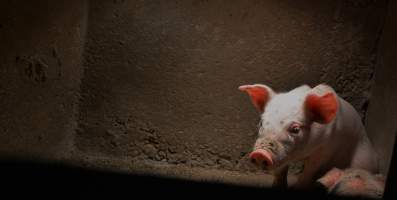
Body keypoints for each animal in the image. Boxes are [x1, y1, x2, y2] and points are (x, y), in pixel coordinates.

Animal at [237, 83, 378, 190]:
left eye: (295, 129)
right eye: (261, 123)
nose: (260, 154)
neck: (301, 154)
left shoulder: (324, 150)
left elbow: (309, 171)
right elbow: (280, 171)